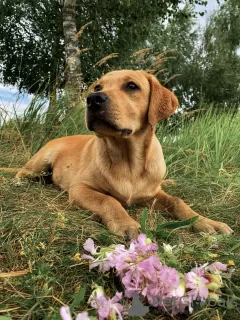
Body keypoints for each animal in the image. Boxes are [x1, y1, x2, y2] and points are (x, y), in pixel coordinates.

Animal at [12, 71, 232, 239]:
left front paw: (206, 222)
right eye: (97, 87)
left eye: (132, 86)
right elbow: (109, 200)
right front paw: (125, 223)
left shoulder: (151, 194)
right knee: (23, 171)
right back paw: (21, 181)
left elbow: (178, 201)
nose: (93, 99)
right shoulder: (80, 188)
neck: (128, 160)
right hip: (40, 161)